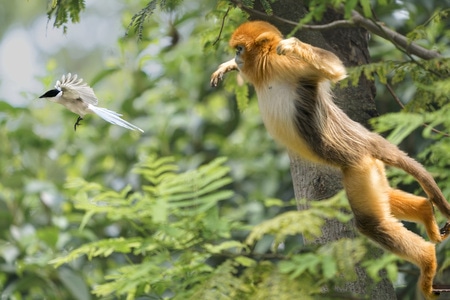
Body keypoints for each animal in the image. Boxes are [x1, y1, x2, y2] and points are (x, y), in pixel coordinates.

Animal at [210, 20, 450, 298]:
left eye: (240, 48)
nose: (237, 56)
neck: (265, 74)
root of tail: (365, 140)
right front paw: (227, 66)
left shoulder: (287, 65)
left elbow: (335, 70)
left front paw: (295, 44)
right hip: (370, 166)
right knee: (386, 197)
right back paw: (424, 210)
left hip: (357, 166)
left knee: (370, 222)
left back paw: (427, 259)